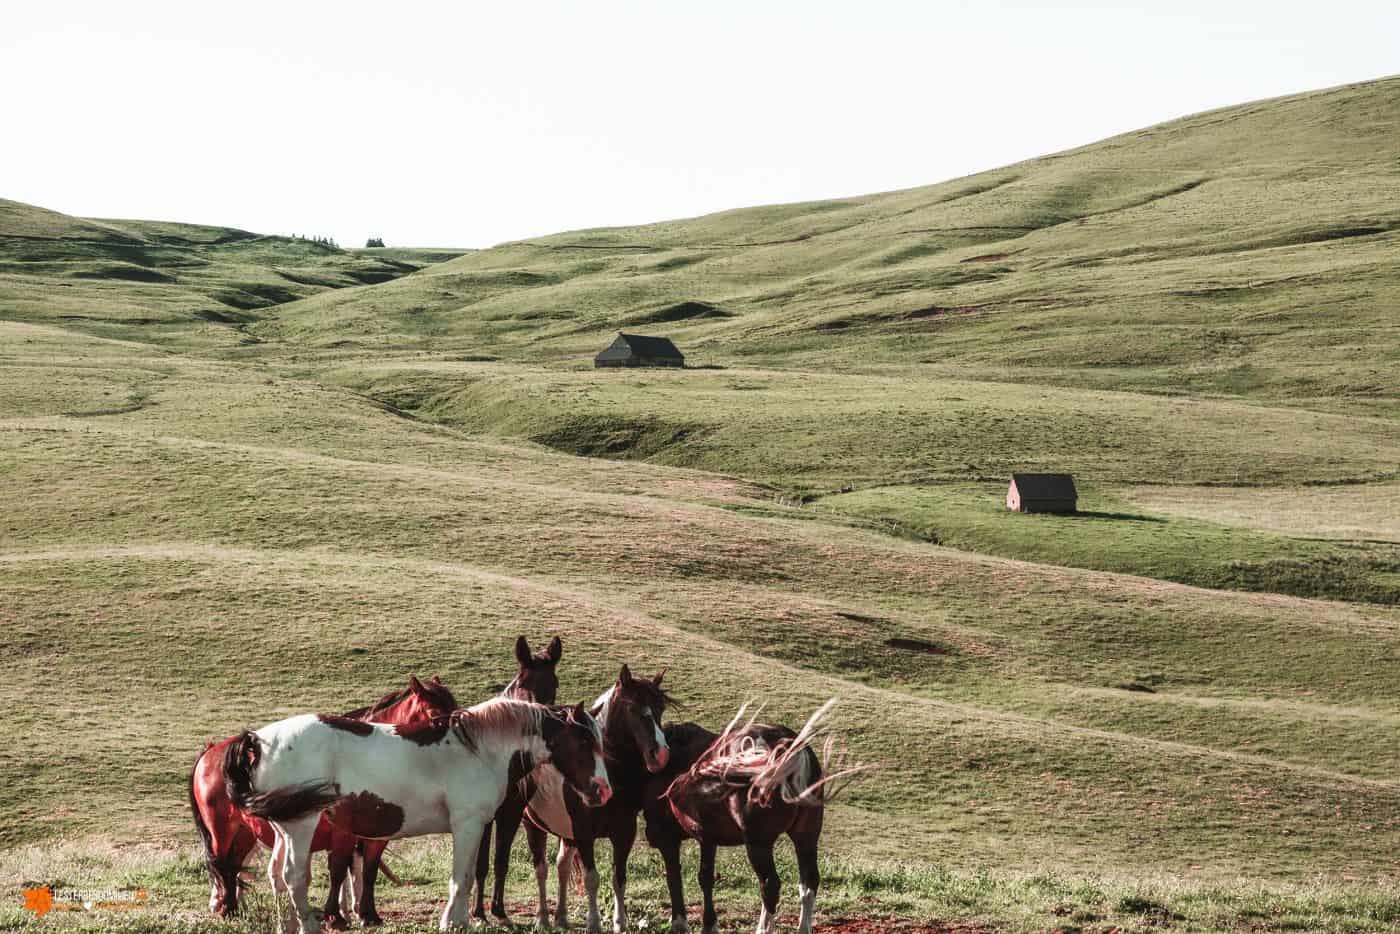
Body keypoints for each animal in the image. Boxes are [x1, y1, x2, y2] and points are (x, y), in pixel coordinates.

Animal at [189, 672, 453, 929]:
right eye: (434, 714)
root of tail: (211, 752)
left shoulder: (375, 837)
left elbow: (368, 871)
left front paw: (367, 914)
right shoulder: (343, 834)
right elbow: (338, 870)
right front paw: (336, 916)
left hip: (245, 833)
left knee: (233, 865)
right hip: (223, 830)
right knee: (221, 865)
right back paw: (226, 907)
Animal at [222, 700, 607, 934]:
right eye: (584, 743)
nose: (603, 790)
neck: (478, 750)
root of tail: (257, 740)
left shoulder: (476, 827)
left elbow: (469, 876)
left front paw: (463, 921)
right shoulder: (467, 824)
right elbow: (459, 879)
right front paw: (451, 922)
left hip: (284, 829)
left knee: (276, 876)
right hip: (301, 827)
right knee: (294, 877)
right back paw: (309, 925)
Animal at [467, 635, 560, 918]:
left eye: (554, 683)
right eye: (523, 683)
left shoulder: (512, 812)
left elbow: (501, 861)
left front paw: (497, 908)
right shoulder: (486, 816)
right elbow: (481, 864)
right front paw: (478, 911)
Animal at [526, 663, 674, 934]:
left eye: (660, 708)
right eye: (631, 708)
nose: (660, 755)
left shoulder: (624, 833)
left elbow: (619, 878)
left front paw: (620, 923)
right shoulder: (585, 834)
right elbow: (592, 879)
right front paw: (594, 923)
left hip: (566, 834)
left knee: (562, 865)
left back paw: (561, 917)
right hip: (533, 825)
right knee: (541, 869)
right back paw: (542, 919)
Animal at [641, 697, 856, 934]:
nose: (650, 835)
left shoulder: (674, 839)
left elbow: (677, 876)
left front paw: (682, 923)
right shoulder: (707, 838)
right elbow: (705, 878)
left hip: (758, 842)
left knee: (770, 885)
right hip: (806, 836)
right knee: (809, 883)